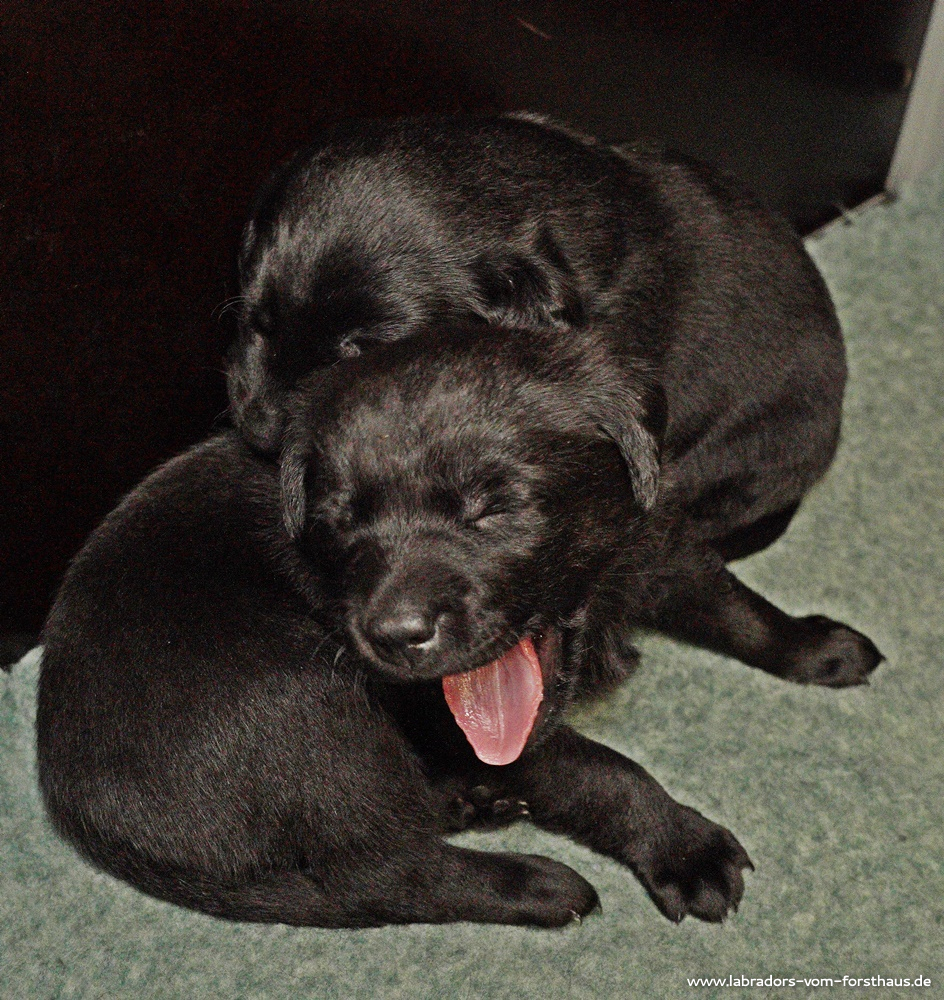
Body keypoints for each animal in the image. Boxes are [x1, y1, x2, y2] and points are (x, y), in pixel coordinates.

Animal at [38, 313, 880, 928]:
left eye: (492, 507)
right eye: (340, 522)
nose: (393, 634)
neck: (589, 595)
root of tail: (82, 810)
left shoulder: (656, 539)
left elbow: (731, 602)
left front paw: (815, 647)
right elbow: (601, 770)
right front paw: (684, 845)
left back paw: (467, 799)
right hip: (302, 703)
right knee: (380, 872)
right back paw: (534, 884)